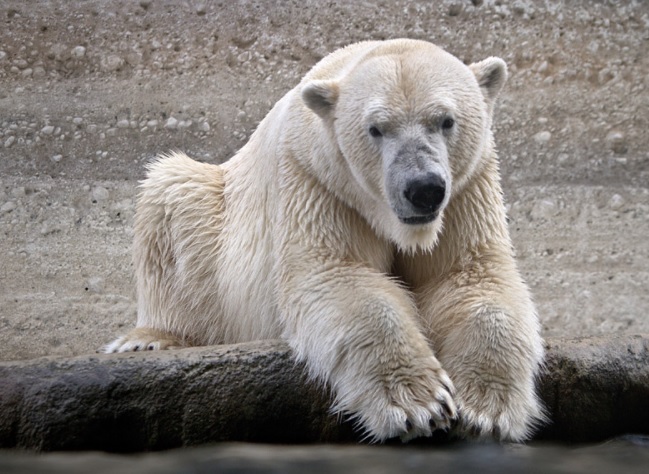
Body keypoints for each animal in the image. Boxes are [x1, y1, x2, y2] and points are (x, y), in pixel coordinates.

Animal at [105, 39, 540, 442]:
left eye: (446, 120)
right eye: (376, 128)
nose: (423, 189)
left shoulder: (467, 187)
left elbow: (469, 276)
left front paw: (485, 409)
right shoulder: (317, 180)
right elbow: (337, 276)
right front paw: (418, 405)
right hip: (215, 216)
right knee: (172, 195)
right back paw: (149, 340)